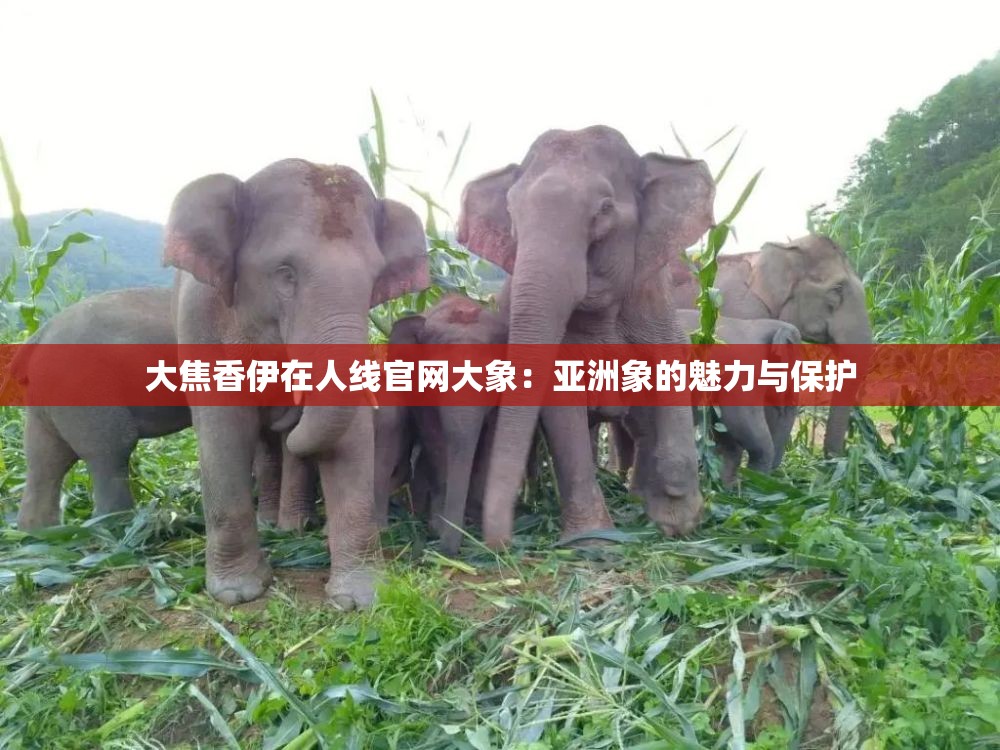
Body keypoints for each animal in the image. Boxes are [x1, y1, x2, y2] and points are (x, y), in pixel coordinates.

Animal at [163, 158, 430, 609]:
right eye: (284, 274)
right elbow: (222, 427)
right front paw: (237, 593)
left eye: (374, 279)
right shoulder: (200, 317)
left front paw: (361, 598)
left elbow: (352, 434)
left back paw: (290, 525)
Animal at [374, 294, 506, 554]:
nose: (443, 550)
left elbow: (491, 440)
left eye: (493, 376)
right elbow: (435, 439)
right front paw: (438, 526)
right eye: (434, 374)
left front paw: (475, 525)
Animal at [457, 125, 716, 548]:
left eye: (604, 209)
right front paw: (594, 541)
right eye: (511, 214)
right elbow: (562, 410)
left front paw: (677, 521)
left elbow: (670, 371)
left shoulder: (652, 299)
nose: (500, 542)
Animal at [606, 310, 803, 487]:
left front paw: (727, 490)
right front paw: (755, 487)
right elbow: (747, 430)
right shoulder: (740, 376)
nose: (777, 480)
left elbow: (727, 439)